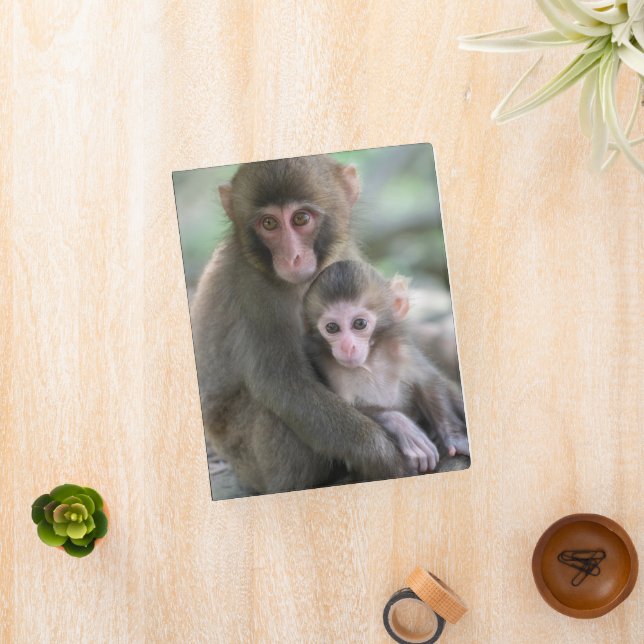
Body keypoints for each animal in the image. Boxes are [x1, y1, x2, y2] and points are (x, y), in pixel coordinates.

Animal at [190, 155, 430, 495]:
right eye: (269, 224)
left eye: (301, 219)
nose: (291, 257)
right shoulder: (252, 290)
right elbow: (284, 385)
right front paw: (386, 457)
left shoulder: (343, 256)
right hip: (250, 461)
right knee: (275, 414)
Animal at [303, 260, 470, 472]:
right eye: (332, 327)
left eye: (359, 324)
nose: (347, 347)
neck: (369, 362)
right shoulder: (324, 364)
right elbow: (338, 409)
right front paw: (400, 425)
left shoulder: (402, 350)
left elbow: (428, 381)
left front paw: (455, 438)